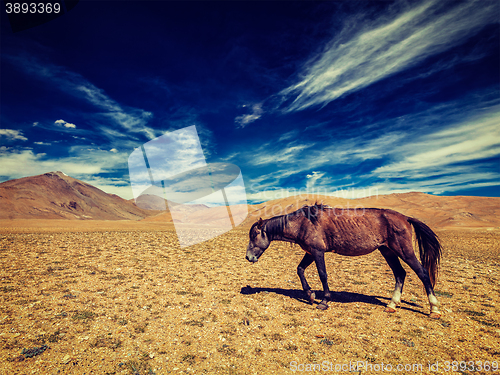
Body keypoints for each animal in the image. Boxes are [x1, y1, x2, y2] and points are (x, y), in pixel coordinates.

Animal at [245, 204, 442, 318]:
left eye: (254, 235)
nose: (248, 257)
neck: (302, 223)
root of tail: (405, 218)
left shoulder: (317, 251)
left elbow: (322, 274)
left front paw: (324, 301)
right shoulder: (310, 252)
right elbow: (300, 269)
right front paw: (310, 295)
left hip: (403, 250)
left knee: (422, 272)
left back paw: (434, 309)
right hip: (387, 251)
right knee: (400, 273)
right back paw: (392, 305)